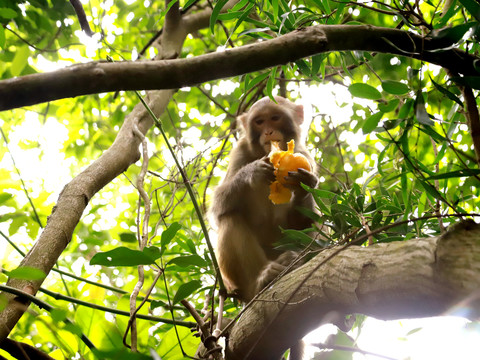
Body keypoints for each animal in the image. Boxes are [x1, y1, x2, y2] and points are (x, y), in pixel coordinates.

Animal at [211, 95, 318, 300]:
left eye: (275, 118)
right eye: (259, 122)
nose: (268, 131)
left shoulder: (305, 156)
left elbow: (302, 221)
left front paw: (303, 184)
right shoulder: (239, 152)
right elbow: (218, 206)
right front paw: (251, 172)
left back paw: (293, 260)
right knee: (229, 217)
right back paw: (261, 280)